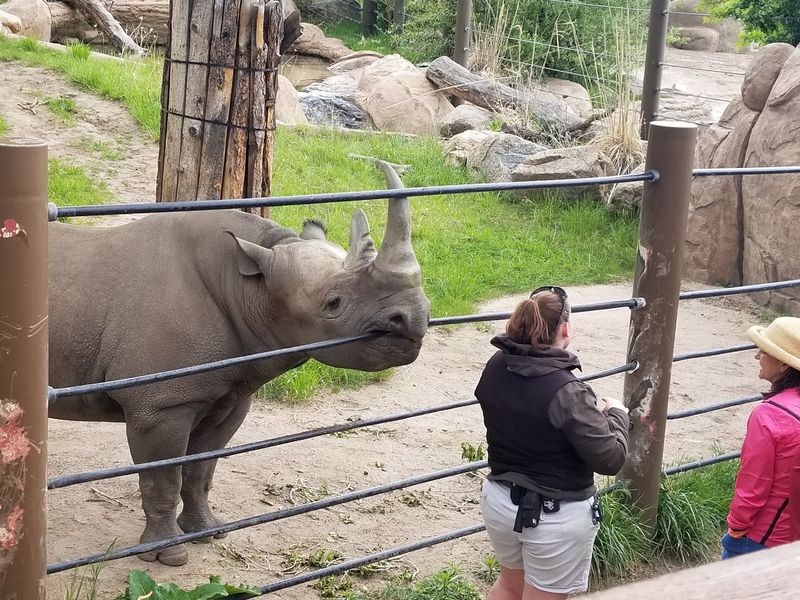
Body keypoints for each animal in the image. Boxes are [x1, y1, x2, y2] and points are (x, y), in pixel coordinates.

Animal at [47, 162, 430, 566]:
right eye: (334, 303)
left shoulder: (230, 394)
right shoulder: (161, 403)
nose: (414, 318)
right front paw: (168, 556)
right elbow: (162, 477)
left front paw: (207, 532)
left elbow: (201, 469)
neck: (251, 287)